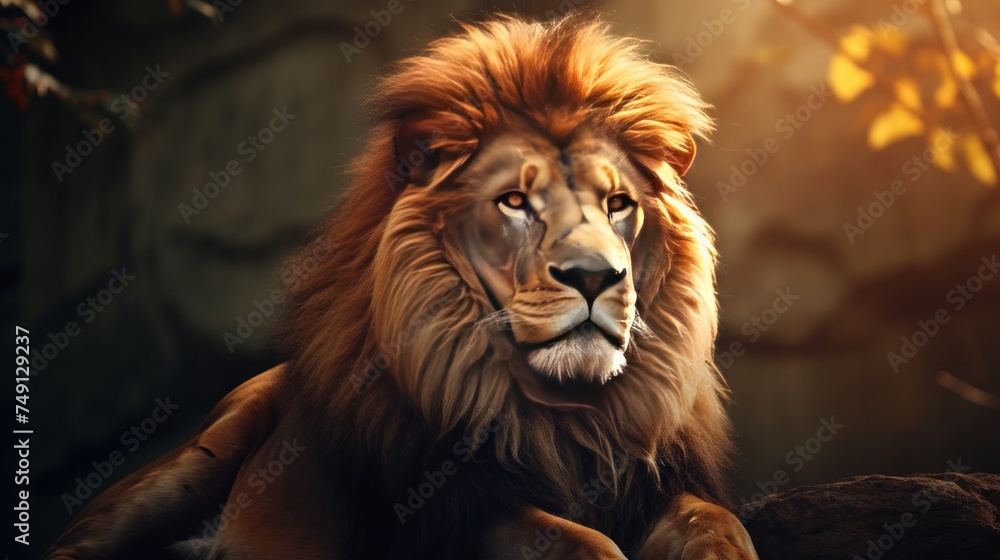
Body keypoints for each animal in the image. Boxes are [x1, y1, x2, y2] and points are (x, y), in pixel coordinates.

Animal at [47, 14, 758, 560]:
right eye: (515, 201)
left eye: (617, 204)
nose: (595, 277)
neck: (560, 413)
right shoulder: (445, 514)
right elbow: (577, 541)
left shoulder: (658, 483)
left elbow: (718, 524)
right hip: (196, 458)